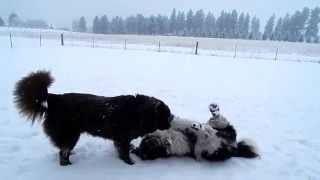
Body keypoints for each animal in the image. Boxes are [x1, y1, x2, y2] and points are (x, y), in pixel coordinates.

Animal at [13, 70, 175, 165]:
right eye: (166, 115)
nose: (172, 120)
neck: (139, 112)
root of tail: (54, 98)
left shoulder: (120, 139)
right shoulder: (122, 138)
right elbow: (124, 152)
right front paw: (129, 163)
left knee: (63, 149)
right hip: (71, 135)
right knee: (63, 152)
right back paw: (67, 165)